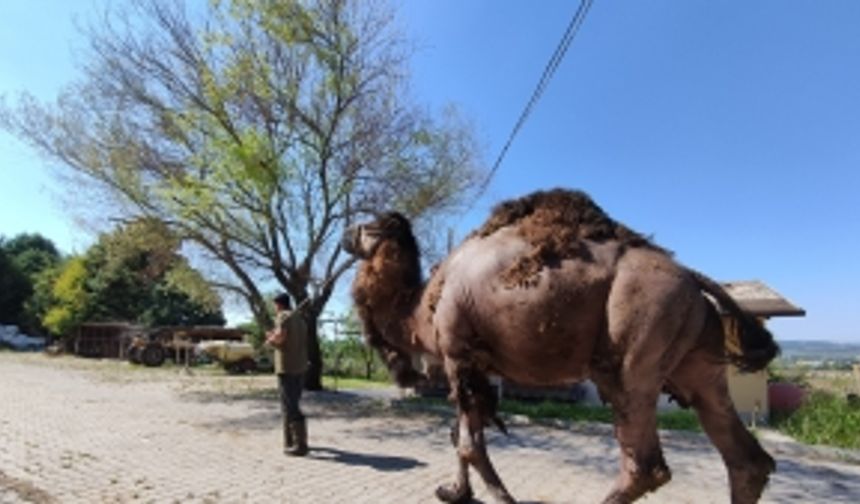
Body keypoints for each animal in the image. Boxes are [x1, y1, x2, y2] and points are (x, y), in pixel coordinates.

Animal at [342, 189, 780, 504]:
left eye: (367, 227)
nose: (345, 234)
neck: (420, 306)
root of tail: (691, 277)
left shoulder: (457, 352)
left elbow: (469, 445)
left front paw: (499, 497)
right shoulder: (473, 365)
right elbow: (459, 436)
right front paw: (453, 492)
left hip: (636, 344)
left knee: (645, 466)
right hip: (699, 362)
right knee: (746, 459)